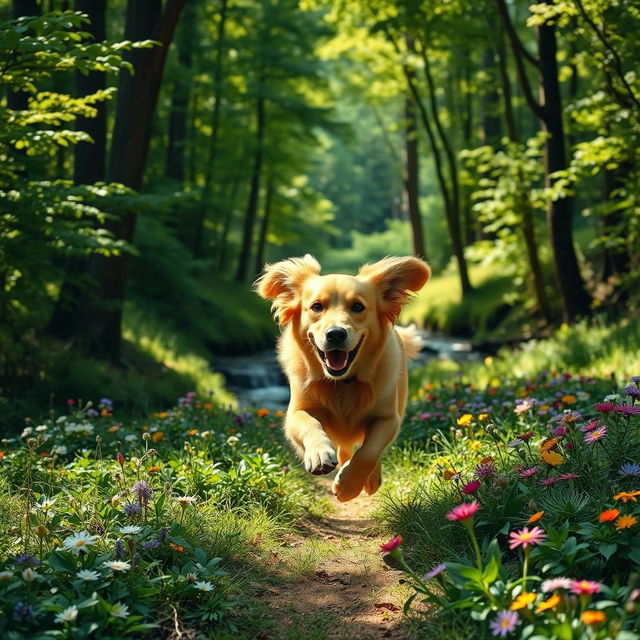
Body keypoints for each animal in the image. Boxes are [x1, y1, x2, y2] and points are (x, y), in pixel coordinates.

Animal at [255, 255, 430, 500]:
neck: (342, 383)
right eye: (317, 306)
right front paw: (319, 454)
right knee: (345, 449)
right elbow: (308, 423)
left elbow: (370, 451)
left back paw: (370, 479)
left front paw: (349, 485)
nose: (336, 334)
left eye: (357, 306)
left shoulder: (389, 418)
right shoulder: (295, 412)